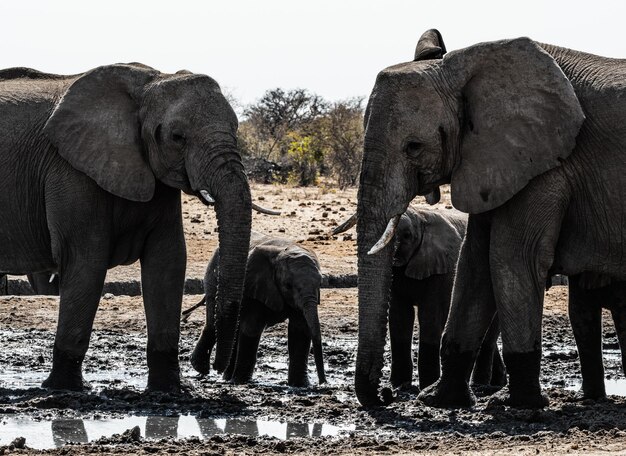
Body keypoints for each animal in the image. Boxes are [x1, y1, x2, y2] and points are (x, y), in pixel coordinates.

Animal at [1, 63, 254, 392]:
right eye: (177, 137)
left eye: (236, 129)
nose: (218, 371)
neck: (150, 82)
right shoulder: (71, 170)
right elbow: (86, 261)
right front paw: (63, 388)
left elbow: (168, 261)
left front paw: (168, 389)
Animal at [191, 233, 324, 386]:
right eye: (288, 285)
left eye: (320, 283)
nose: (323, 382)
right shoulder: (257, 285)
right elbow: (252, 327)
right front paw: (241, 382)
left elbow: (300, 329)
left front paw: (300, 386)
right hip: (212, 280)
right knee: (214, 324)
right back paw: (202, 368)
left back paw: (226, 377)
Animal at [356, 30, 624, 408]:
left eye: (414, 147)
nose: (386, 395)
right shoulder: (494, 159)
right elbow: (475, 260)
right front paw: (439, 399)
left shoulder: (545, 163)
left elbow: (511, 256)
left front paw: (520, 404)